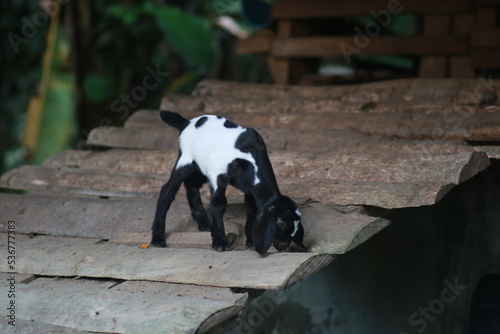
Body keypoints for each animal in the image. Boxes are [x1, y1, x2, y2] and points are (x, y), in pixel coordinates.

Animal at [149, 111, 304, 254]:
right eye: (281, 224)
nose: (283, 246)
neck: (250, 161)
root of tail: (187, 122)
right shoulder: (218, 174)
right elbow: (218, 204)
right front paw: (220, 243)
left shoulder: (249, 189)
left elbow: (251, 209)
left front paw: (250, 241)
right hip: (185, 159)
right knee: (167, 191)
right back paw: (157, 238)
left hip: (201, 166)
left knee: (191, 184)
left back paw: (203, 223)